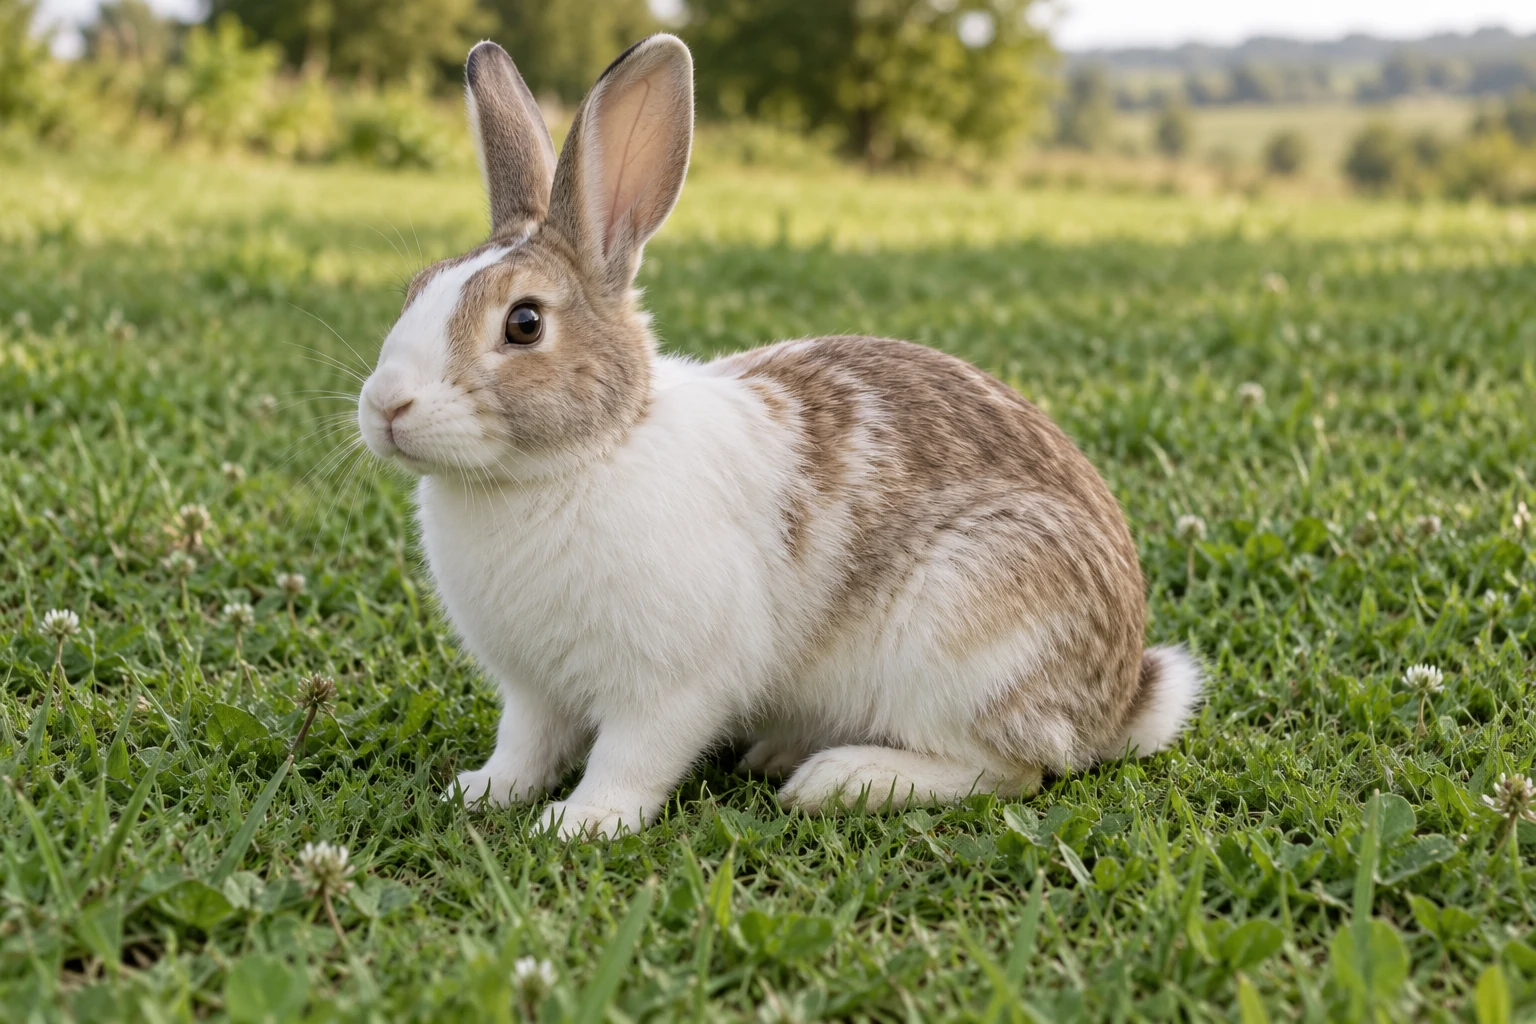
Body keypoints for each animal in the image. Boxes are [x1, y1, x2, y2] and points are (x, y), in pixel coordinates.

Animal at [356, 34, 1202, 840]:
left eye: (524, 323)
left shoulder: (672, 683)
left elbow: (631, 758)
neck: (587, 453)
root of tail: (1120, 698)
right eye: (413, 290)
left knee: (1013, 768)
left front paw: (582, 824)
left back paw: (839, 780)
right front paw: (481, 792)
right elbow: (525, 747)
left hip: (967, 636)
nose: (385, 406)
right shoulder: (533, 691)